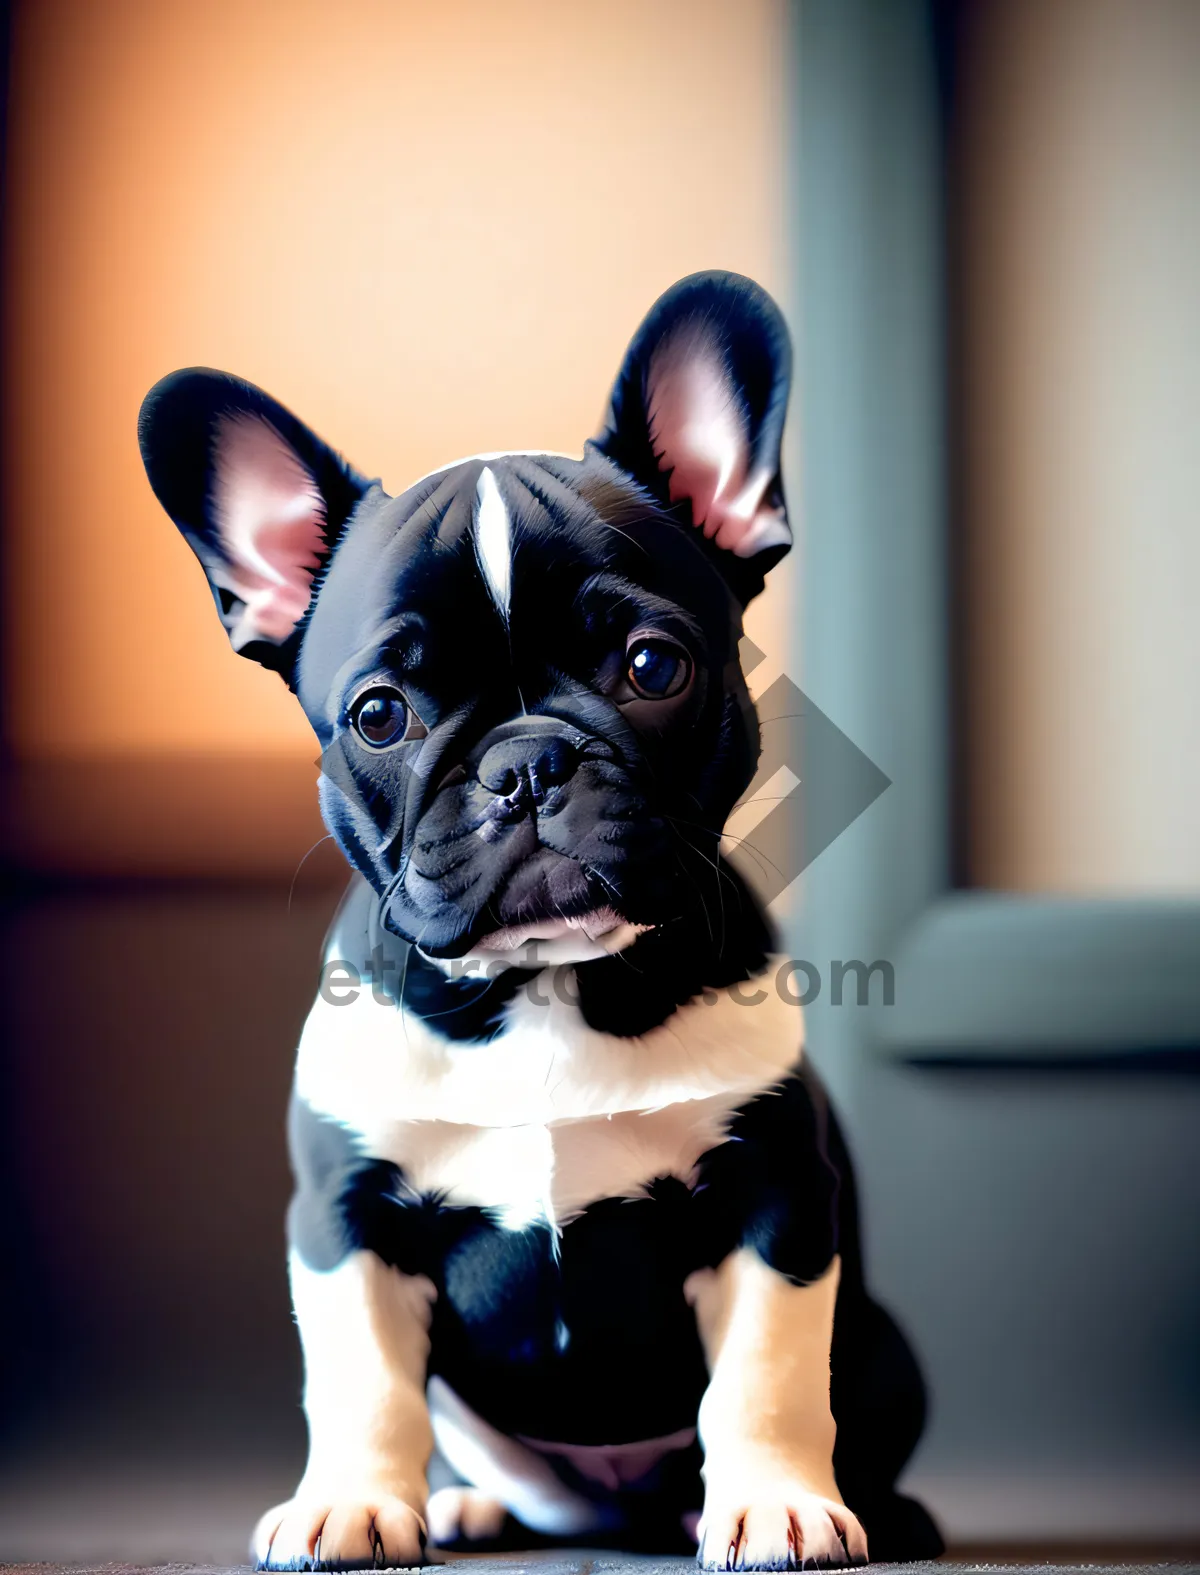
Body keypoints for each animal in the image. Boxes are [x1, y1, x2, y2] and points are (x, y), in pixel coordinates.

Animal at [140, 270, 938, 1562]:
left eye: (654, 667)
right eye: (379, 714)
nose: (524, 764)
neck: (550, 984)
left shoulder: (773, 1203)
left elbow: (765, 1380)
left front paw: (775, 1503)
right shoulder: (346, 1224)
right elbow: (363, 1383)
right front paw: (352, 1503)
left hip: (886, 1349)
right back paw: (465, 1504)